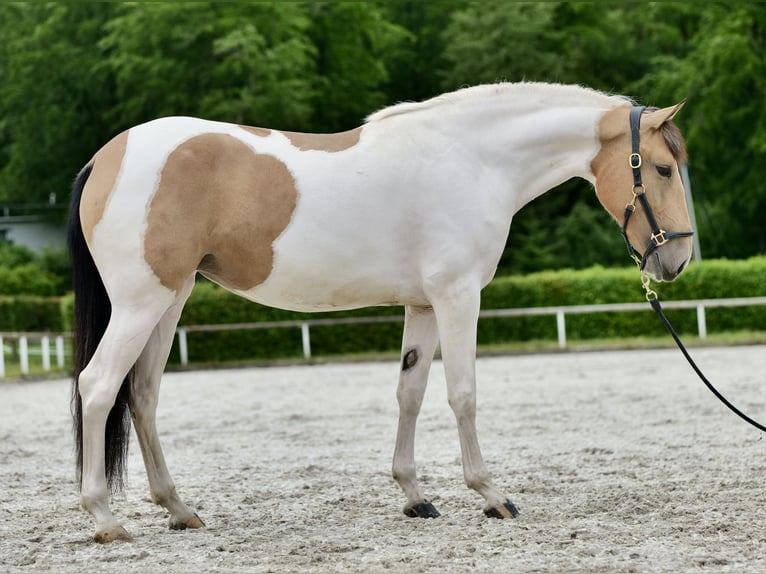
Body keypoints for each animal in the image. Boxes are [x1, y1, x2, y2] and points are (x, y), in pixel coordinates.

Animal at [67, 82, 696, 544]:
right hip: (141, 303)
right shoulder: (458, 297)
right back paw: (105, 519)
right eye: (663, 168)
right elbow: (463, 394)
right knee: (98, 386)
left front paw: (416, 497)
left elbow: (410, 394)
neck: (472, 160)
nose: (678, 259)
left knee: (142, 395)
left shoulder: (422, 304)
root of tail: (104, 158)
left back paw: (178, 509)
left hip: (169, 302)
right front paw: (491, 496)